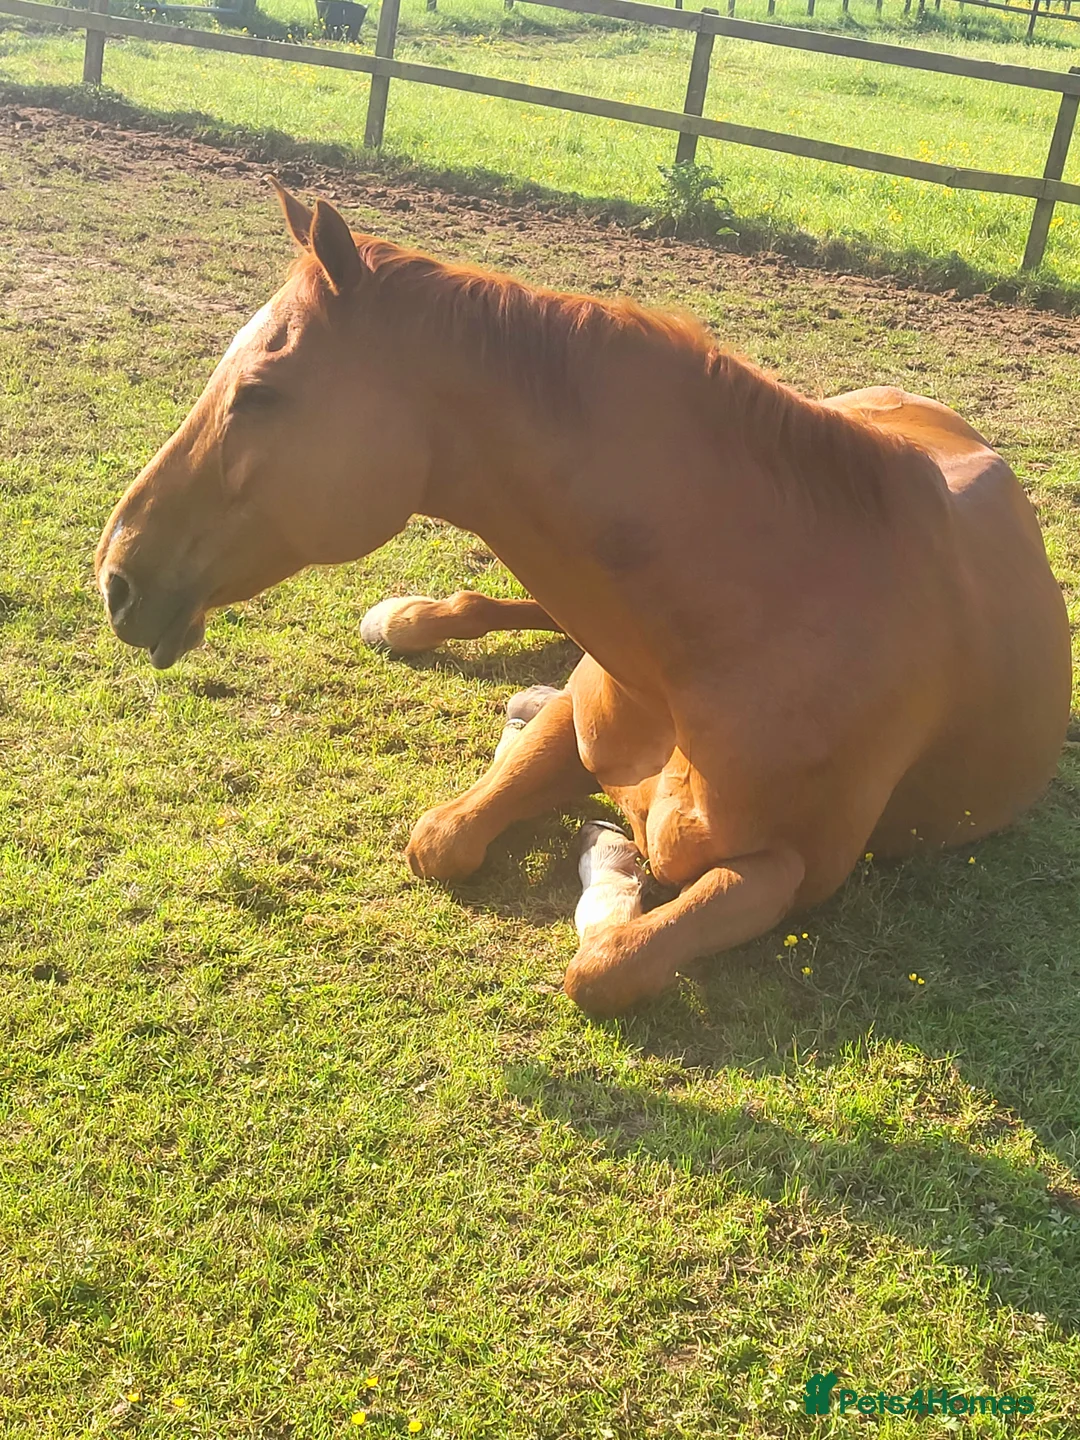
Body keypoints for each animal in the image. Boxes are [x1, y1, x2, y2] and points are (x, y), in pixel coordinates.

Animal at [95, 182, 1072, 1016]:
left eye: (260, 392)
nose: (116, 577)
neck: (735, 635)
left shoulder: (788, 870)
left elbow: (606, 966)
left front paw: (610, 872)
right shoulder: (584, 711)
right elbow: (442, 837)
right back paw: (409, 619)